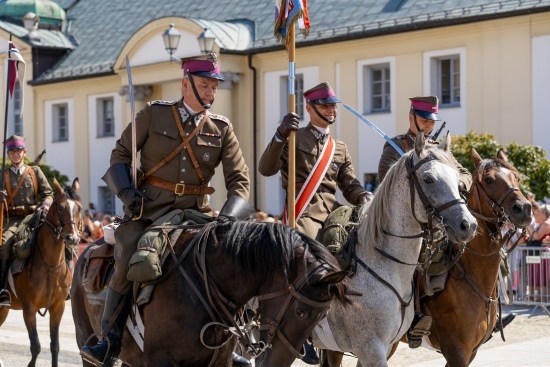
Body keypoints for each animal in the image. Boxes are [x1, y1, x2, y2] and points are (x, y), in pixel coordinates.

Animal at [0, 177, 82, 366]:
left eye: (79, 208)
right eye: (60, 207)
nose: (73, 238)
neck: (49, 266)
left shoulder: (58, 307)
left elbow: (55, 346)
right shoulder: (29, 309)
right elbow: (36, 346)